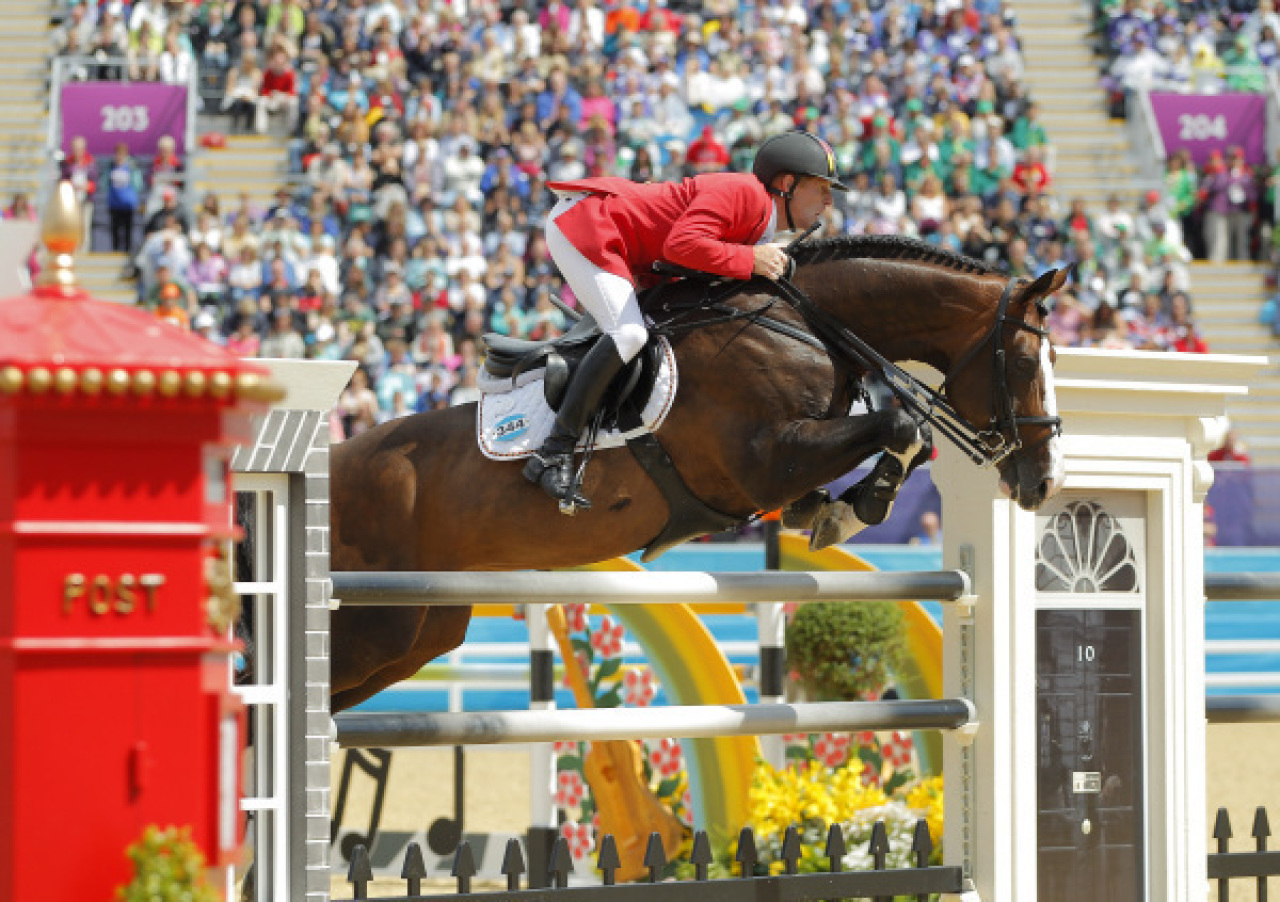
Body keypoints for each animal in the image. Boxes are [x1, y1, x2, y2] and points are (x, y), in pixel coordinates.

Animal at [330, 234, 1070, 711]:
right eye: (1025, 362)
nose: (1043, 482)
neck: (802, 324)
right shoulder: (764, 458)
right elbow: (900, 426)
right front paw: (858, 505)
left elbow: (896, 436)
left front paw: (836, 508)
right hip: (376, 624)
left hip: (421, 628)